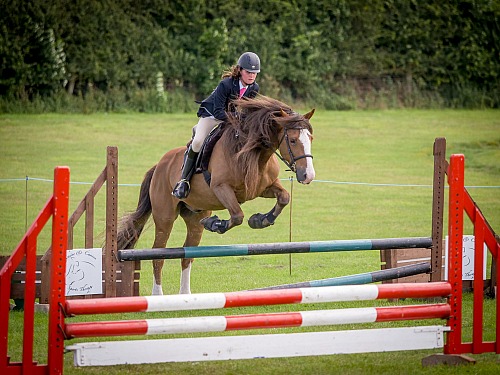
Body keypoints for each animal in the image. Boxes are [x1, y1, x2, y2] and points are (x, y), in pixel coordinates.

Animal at [116, 95, 316, 296]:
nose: (308, 176)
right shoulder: (221, 188)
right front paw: (216, 224)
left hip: (194, 218)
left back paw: (186, 295)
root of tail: (159, 165)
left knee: (187, 255)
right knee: (158, 254)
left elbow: (284, 198)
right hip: (165, 216)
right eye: (292, 140)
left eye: (311, 138)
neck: (255, 153)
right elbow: (237, 215)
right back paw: (158, 295)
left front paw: (260, 220)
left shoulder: (264, 188)